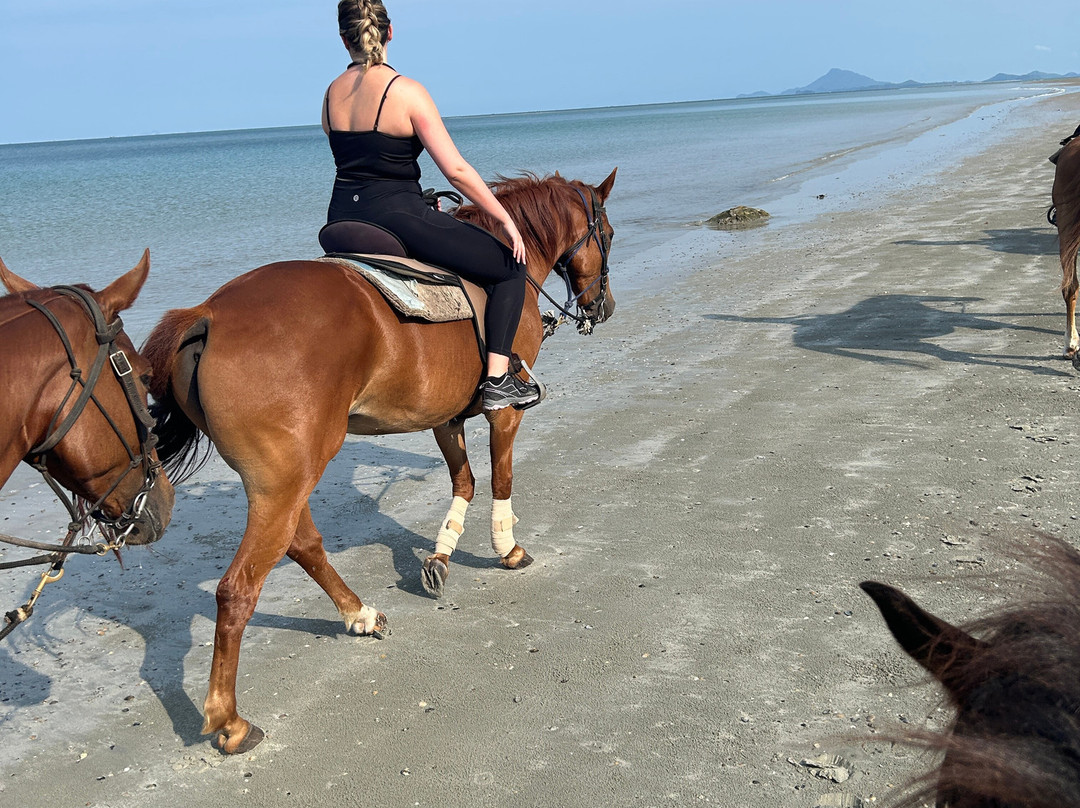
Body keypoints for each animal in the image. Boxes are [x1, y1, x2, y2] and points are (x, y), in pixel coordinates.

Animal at [141, 170, 617, 753]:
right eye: (608, 234)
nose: (604, 306)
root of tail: (207, 314)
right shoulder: (502, 413)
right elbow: (500, 478)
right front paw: (506, 547)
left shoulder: (443, 416)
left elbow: (464, 481)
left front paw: (441, 554)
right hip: (287, 480)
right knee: (237, 590)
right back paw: (230, 719)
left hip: (285, 479)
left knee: (302, 544)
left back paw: (358, 613)